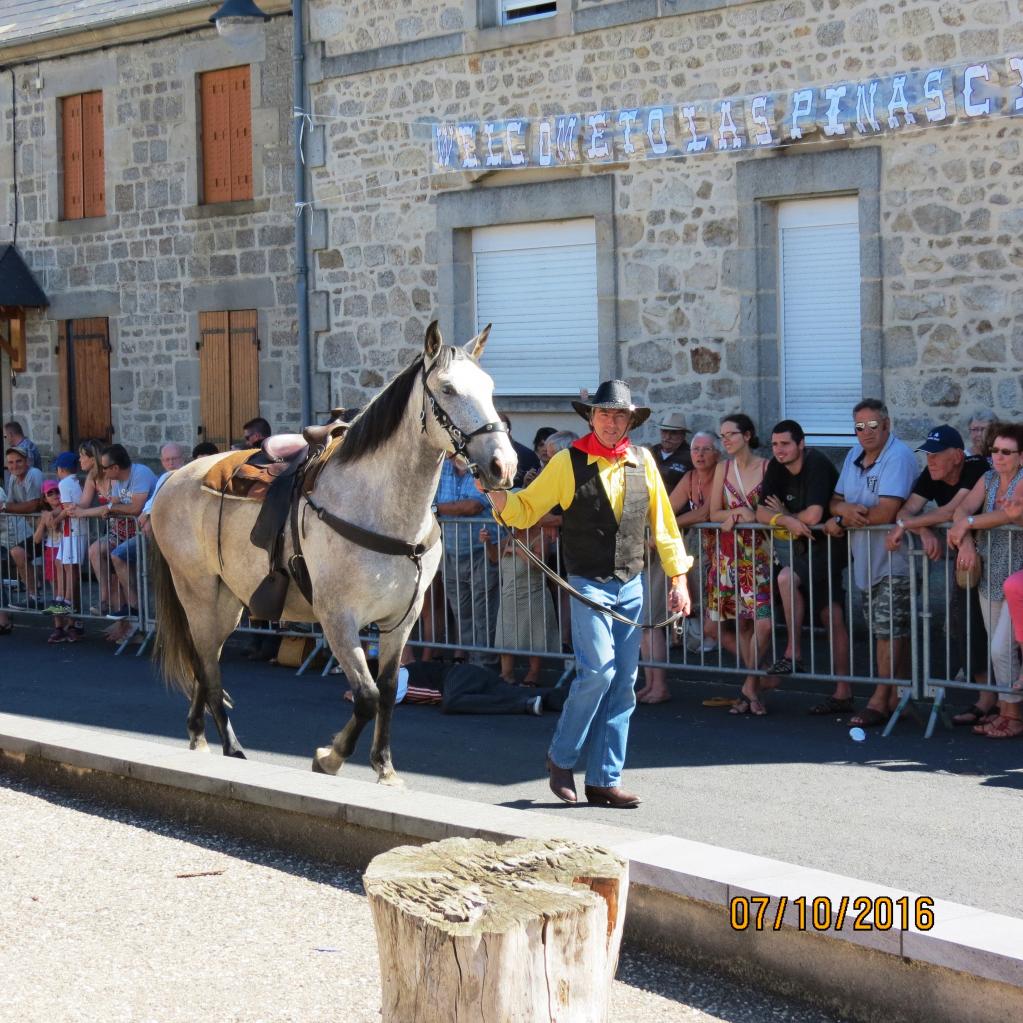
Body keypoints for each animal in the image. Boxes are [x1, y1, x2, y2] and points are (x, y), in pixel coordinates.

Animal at [148, 323, 515, 785]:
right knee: (207, 668)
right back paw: (231, 750)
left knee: (206, 659)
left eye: (490, 388)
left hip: (228, 601)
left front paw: (385, 767)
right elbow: (366, 695)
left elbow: (388, 691)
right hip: (197, 594)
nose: (503, 466)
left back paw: (198, 738)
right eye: (447, 389)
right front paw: (330, 757)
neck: (381, 508)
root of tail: (173, 478)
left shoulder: (402, 620)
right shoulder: (339, 618)